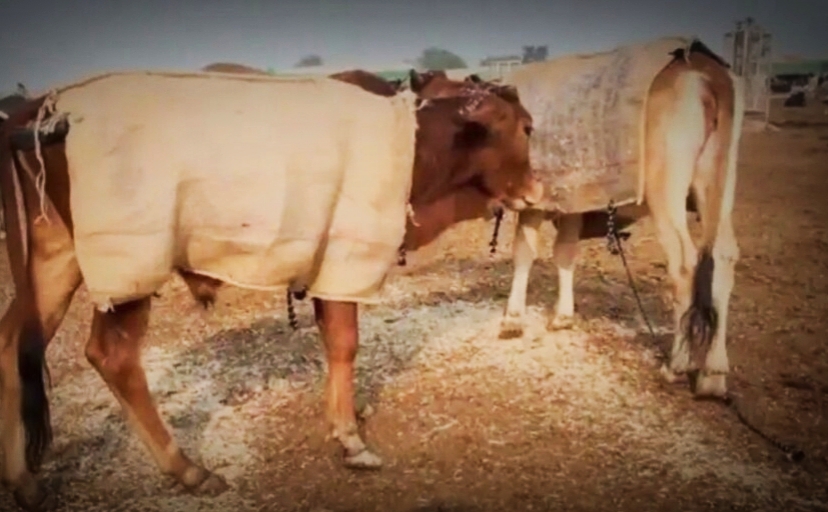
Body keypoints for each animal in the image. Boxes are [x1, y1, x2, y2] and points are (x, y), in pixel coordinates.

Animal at [0, 72, 542, 510]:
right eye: (527, 127)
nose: (538, 188)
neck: (416, 144)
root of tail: (45, 105)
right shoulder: (346, 259)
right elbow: (345, 344)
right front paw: (351, 439)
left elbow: (333, 344)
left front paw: (346, 419)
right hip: (128, 271)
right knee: (112, 356)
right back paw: (187, 469)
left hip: (54, 260)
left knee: (10, 344)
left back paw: (23, 481)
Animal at [493, 39, 744, 402]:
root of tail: (702, 66)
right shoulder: (576, 196)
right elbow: (564, 252)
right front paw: (563, 316)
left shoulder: (535, 200)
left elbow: (524, 252)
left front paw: (512, 320)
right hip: (719, 182)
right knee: (723, 257)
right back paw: (713, 376)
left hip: (666, 187)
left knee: (685, 264)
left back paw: (676, 367)